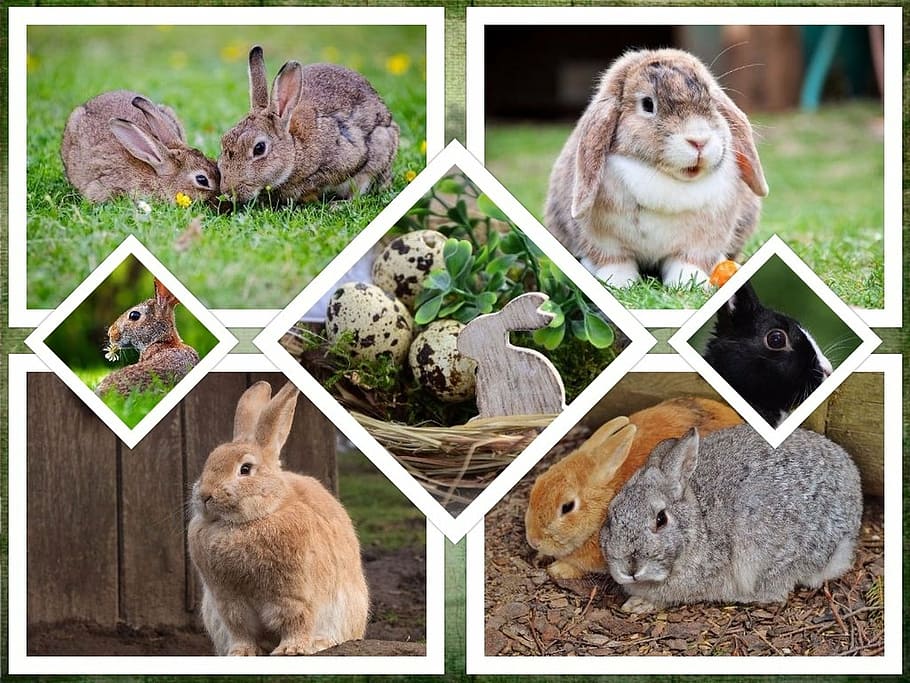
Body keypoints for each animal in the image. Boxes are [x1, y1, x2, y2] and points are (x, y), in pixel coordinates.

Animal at [187, 381, 369, 656]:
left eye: (245, 469)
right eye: (210, 462)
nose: (205, 495)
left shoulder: (294, 598)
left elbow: (296, 622)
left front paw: (290, 650)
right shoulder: (229, 603)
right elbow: (241, 632)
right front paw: (241, 653)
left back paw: (319, 643)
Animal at [217, 45, 399, 205]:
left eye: (259, 148)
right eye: (223, 141)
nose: (228, 192)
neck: (295, 150)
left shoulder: (349, 158)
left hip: (380, 147)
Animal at [544, 48, 768, 288]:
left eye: (710, 100)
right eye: (647, 104)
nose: (699, 141)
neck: (664, 178)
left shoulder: (702, 241)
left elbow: (688, 261)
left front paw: (688, 282)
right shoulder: (603, 240)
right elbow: (615, 261)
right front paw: (619, 282)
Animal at [600, 424, 862, 614]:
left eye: (661, 519)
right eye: (610, 517)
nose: (629, 568)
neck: (699, 522)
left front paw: (639, 604)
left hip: (769, 553)